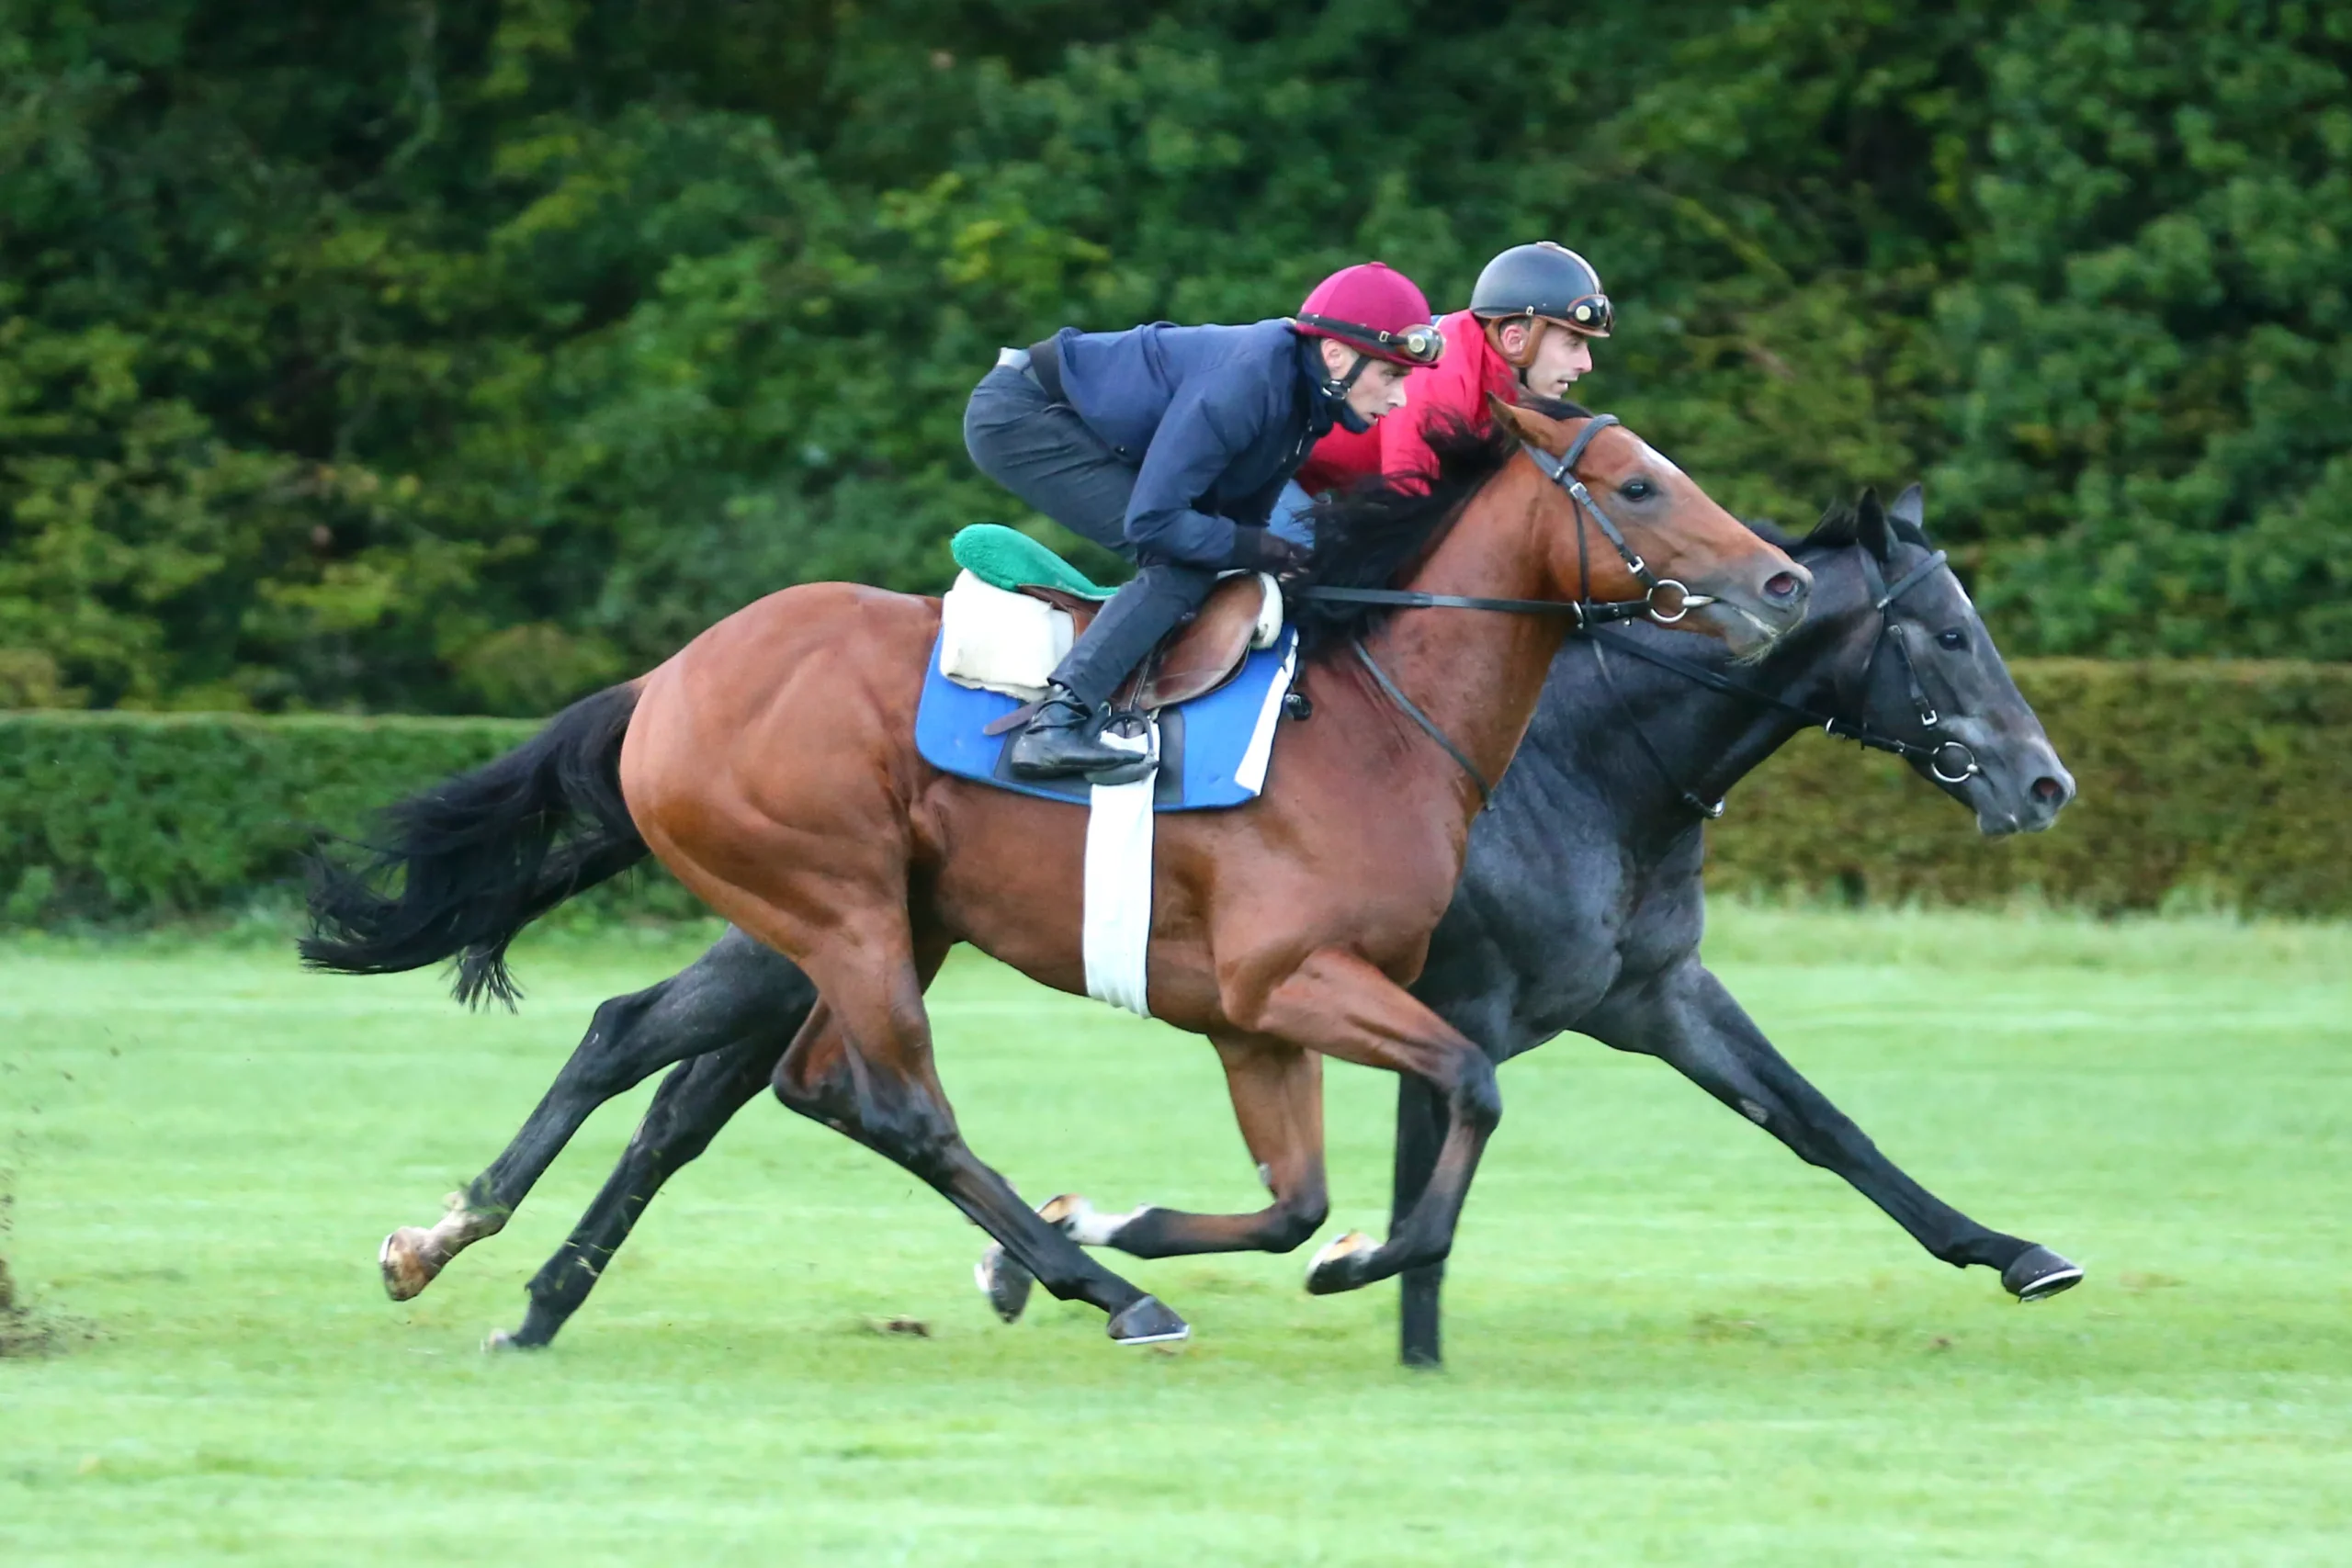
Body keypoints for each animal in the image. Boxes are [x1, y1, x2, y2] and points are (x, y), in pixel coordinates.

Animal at [353, 481, 2077, 1363]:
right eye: (1944, 632)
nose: (2047, 778)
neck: (1576, 757)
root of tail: (676, 674)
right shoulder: (1422, 995)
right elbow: (1425, 1165)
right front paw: (1382, 1303)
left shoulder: (1648, 990)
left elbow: (1825, 1126)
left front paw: (2012, 1249)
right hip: (830, 922)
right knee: (809, 1087)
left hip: (833, 936)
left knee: (666, 1067)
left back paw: (510, 1278)